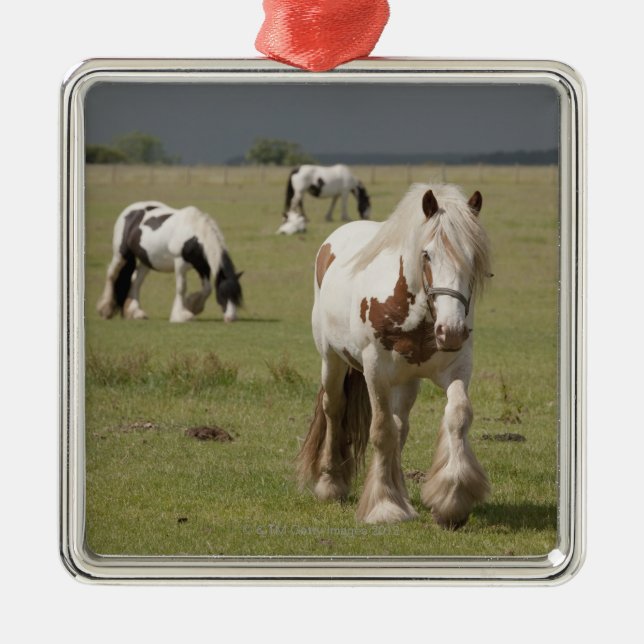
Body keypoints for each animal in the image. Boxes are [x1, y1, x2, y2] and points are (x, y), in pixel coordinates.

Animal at [96, 201, 243, 323]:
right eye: (223, 294)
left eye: (237, 296)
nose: (231, 318)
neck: (194, 232)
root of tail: (130, 210)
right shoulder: (180, 263)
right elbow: (181, 287)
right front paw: (181, 315)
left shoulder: (202, 265)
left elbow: (207, 289)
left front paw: (191, 306)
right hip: (121, 254)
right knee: (112, 274)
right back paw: (105, 309)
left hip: (146, 261)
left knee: (136, 281)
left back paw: (136, 312)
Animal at [296, 183, 492, 527]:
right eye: (427, 254)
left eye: (472, 257)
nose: (452, 331)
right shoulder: (375, 372)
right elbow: (382, 431)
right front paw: (385, 506)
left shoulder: (457, 367)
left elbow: (457, 416)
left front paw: (452, 498)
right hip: (332, 360)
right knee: (334, 408)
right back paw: (331, 482)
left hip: (407, 382)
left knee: (401, 426)